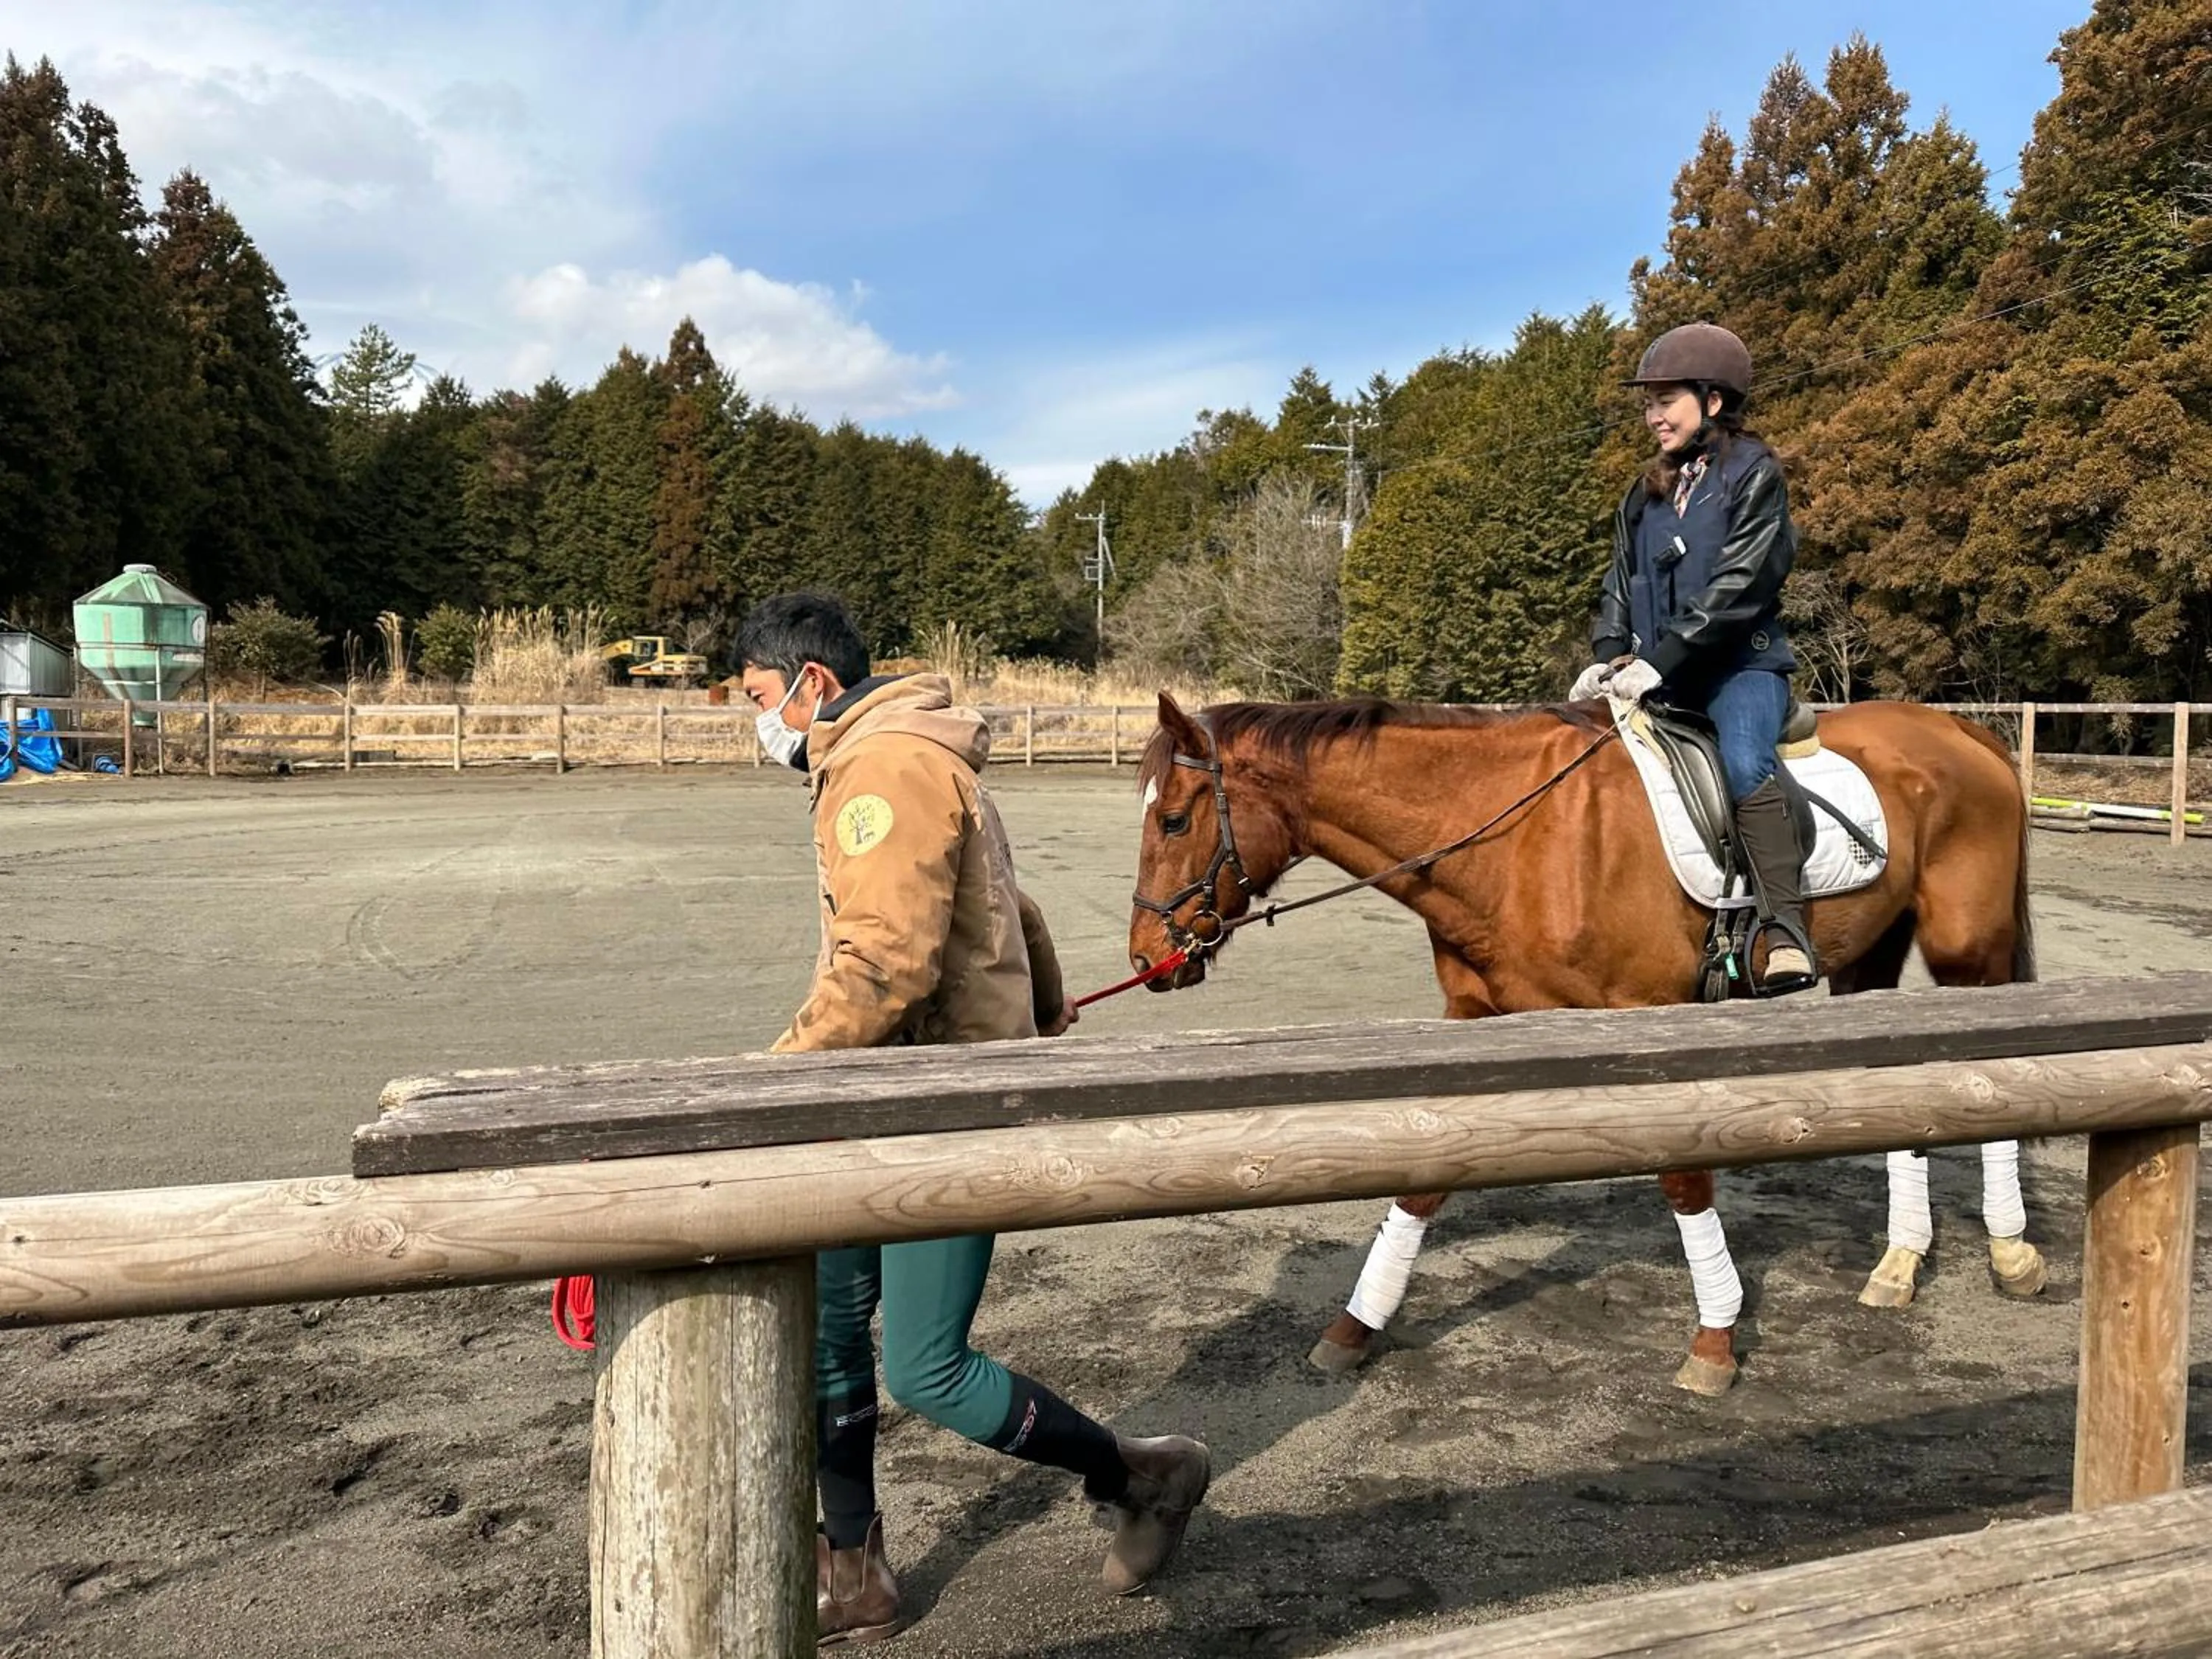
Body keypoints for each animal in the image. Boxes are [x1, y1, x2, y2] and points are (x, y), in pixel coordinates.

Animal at [1126, 692, 2048, 1396]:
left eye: (1173, 819)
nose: (1145, 959)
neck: (1510, 838)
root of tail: (1959, 731)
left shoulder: (1648, 1017)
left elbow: (1683, 1175)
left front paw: (1715, 1341)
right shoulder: (1478, 1019)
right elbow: (1425, 1177)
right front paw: (1355, 1327)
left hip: (1968, 951)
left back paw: (2011, 1252)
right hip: (1869, 965)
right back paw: (1899, 1263)